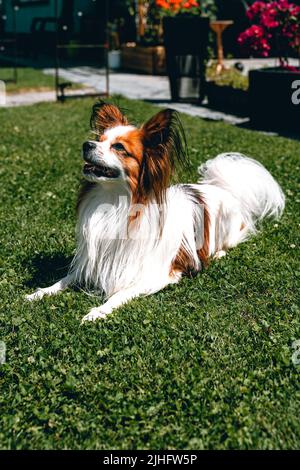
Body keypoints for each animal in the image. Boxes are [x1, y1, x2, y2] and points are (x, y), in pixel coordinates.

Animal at [25, 102, 284, 324]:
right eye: (99, 139)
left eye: (118, 147)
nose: (86, 145)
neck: (115, 202)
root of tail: (221, 188)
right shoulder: (92, 263)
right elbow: (64, 280)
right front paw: (40, 292)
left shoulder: (156, 274)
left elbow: (119, 294)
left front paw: (98, 311)